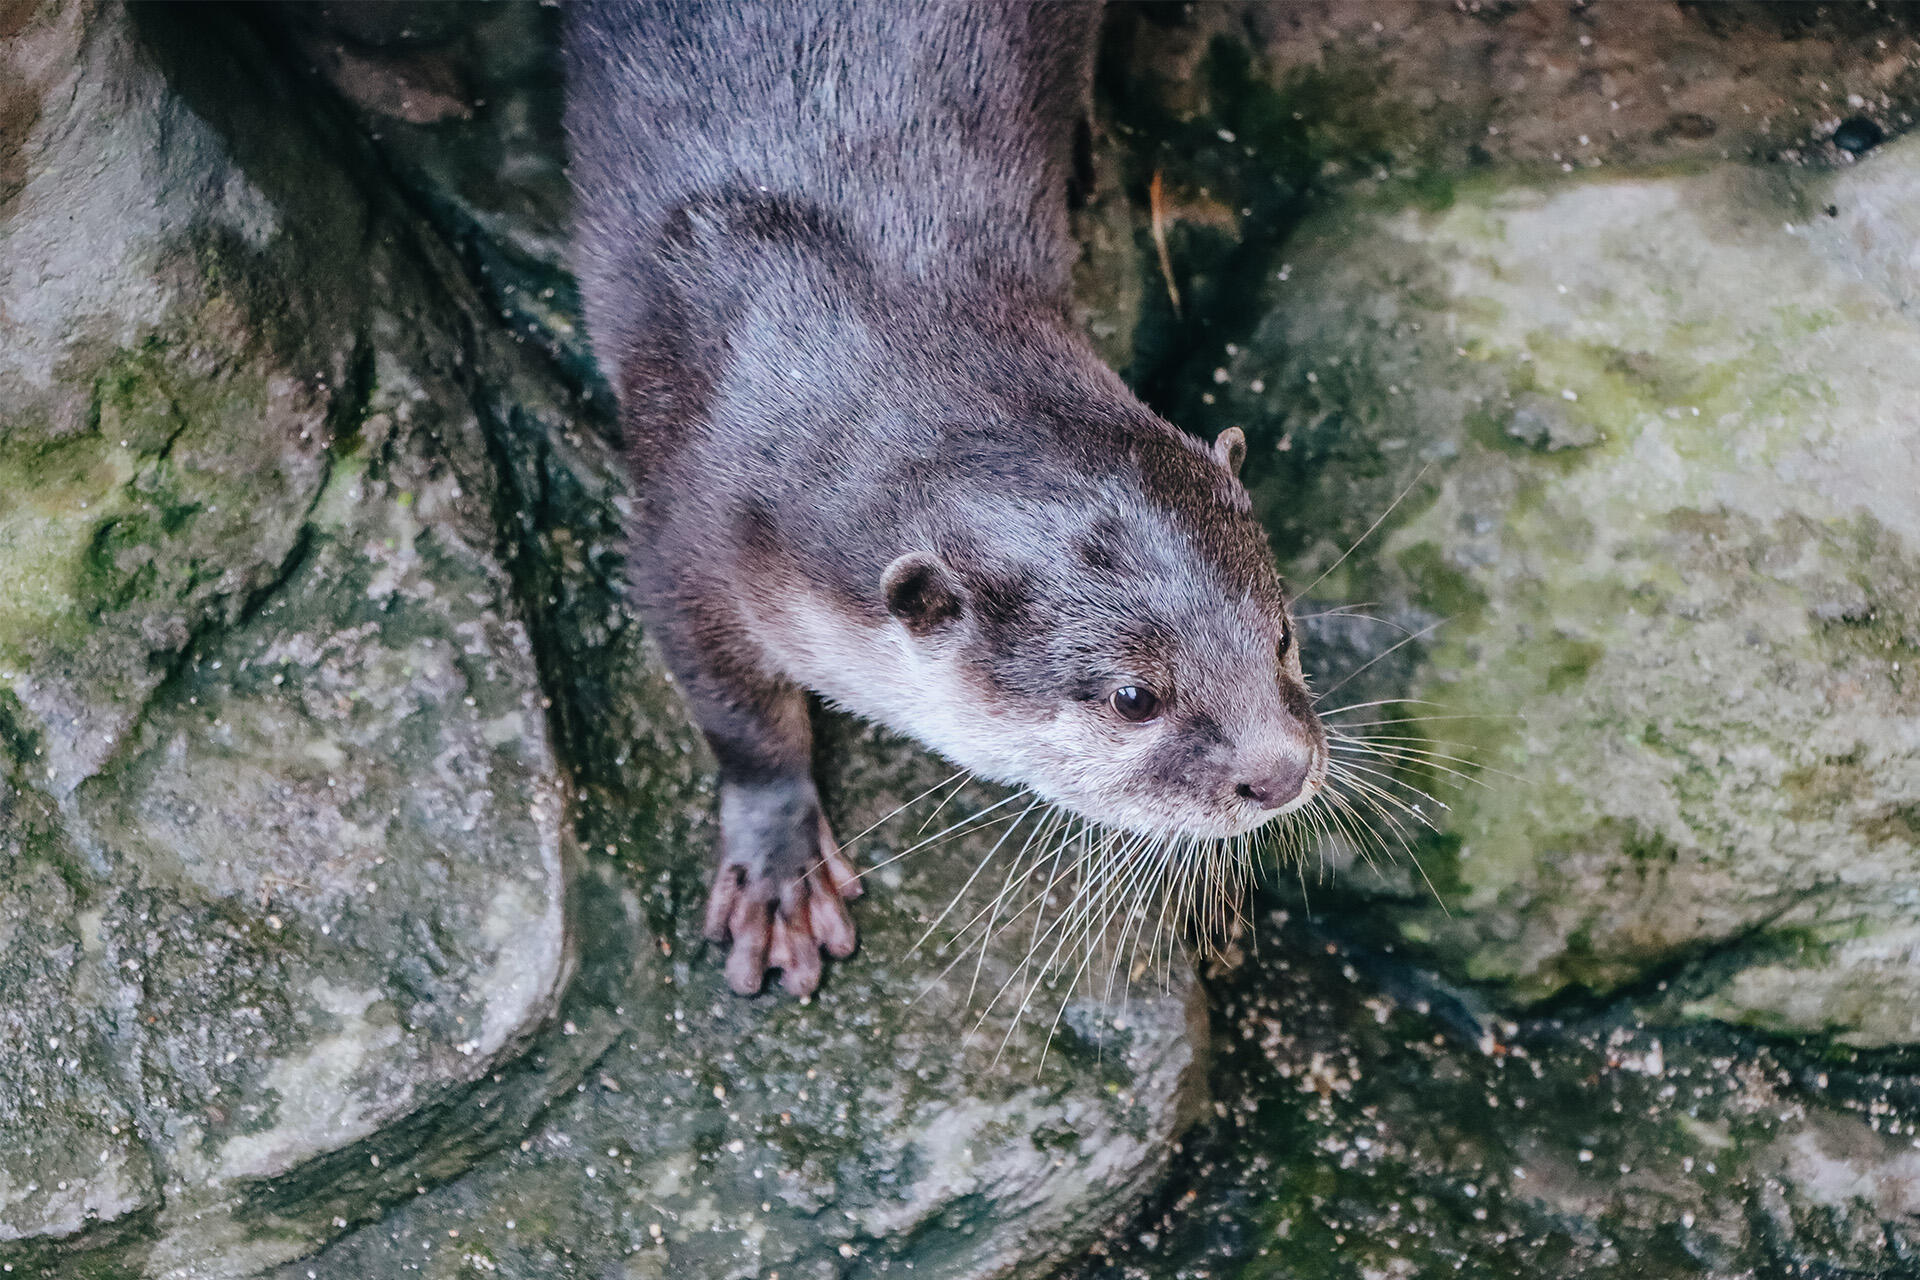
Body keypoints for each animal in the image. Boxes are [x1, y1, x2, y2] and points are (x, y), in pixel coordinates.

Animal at [562, 1, 1327, 998]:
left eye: (1282, 637)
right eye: (1133, 698)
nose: (1281, 772)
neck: (857, 325)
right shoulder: (684, 532)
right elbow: (735, 709)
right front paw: (778, 865)